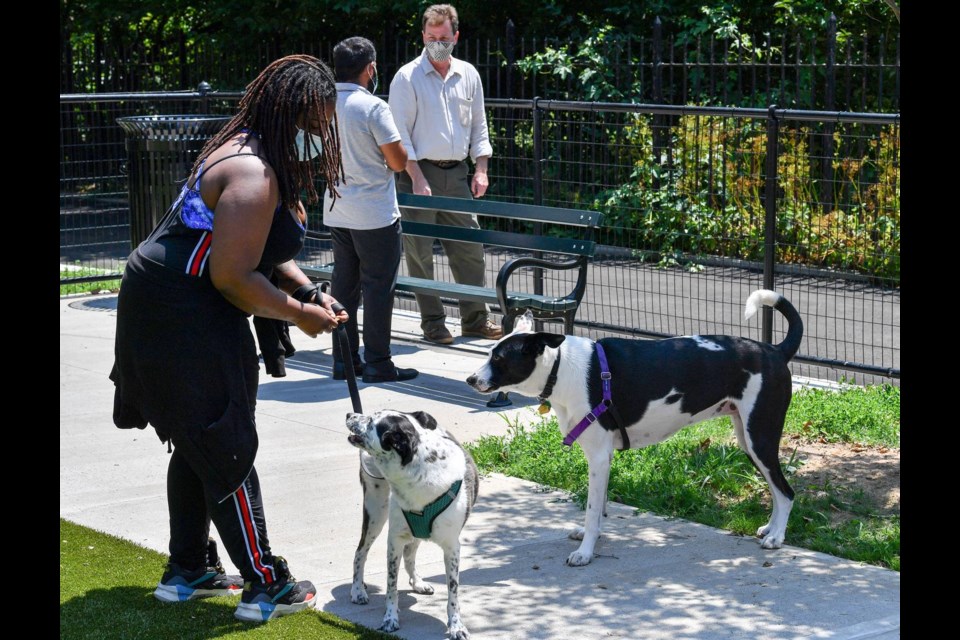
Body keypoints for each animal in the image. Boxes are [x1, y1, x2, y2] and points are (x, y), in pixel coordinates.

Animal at [344, 410, 480, 640]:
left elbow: (453, 592)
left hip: (413, 531)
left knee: (410, 556)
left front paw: (456, 625)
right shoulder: (394, 540)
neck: (419, 472)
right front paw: (390, 618)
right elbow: (391, 586)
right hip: (375, 514)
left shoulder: (452, 547)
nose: (349, 414)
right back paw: (357, 590)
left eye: (371, 422)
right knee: (360, 552)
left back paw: (417, 583)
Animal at [464, 290, 804, 564]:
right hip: (748, 441)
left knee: (786, 492)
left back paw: (777, 537)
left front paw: (585, 552)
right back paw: (770, 528)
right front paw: (591, 538)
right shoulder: (604, 459)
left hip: (759, 438)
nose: (470, 379)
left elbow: (591, 510)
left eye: (499, 359)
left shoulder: (598, 457)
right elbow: (599, 508)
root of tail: (774, 351)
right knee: (777, 491)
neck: (561, 367)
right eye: (490, 353)